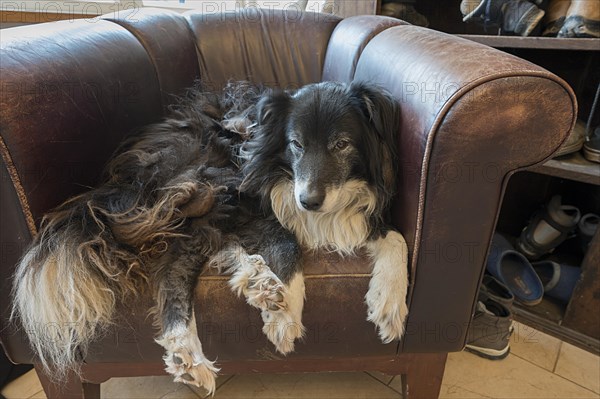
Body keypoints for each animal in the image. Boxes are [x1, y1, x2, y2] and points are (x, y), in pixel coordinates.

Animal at [11, 80, 410, 394]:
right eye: (295, 144)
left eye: (342, 144)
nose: (308, 201)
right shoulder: (256, 199)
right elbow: (287, 241)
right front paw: (285, 319)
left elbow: (397, 239)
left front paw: (389, 304)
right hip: (212, 175)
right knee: (177, 261)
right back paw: (189, 349)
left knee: (198, 247)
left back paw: (257, 280)